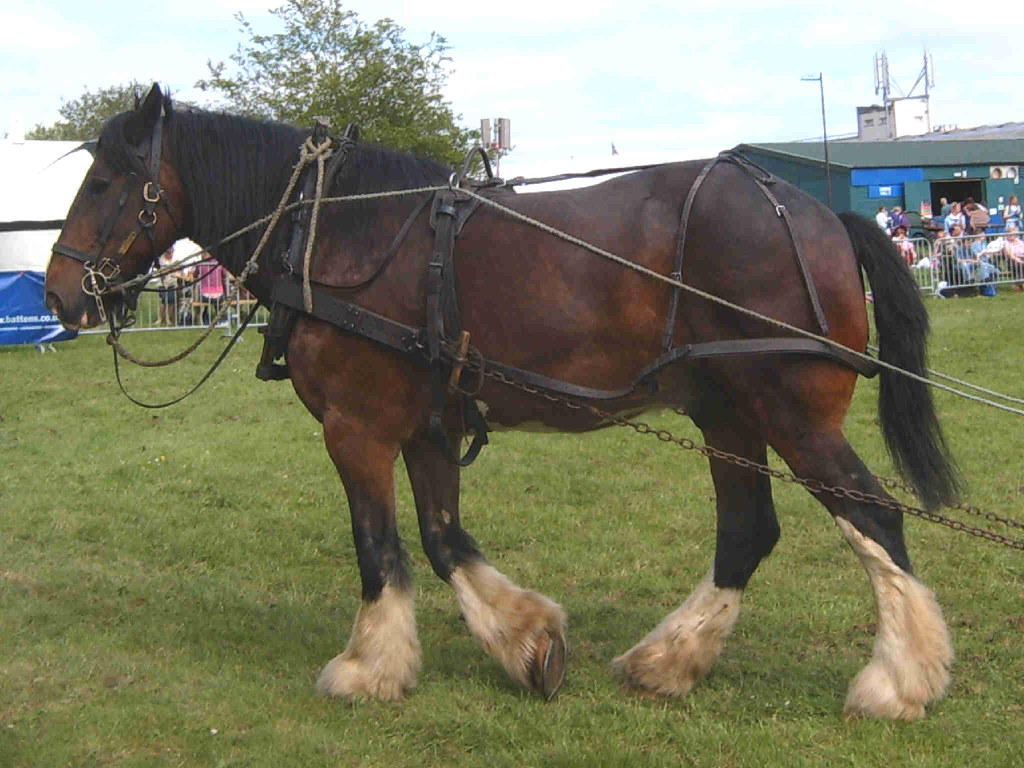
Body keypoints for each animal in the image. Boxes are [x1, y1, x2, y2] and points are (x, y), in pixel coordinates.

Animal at [45, 84, 960, 720]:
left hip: (792, 414)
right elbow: (444, 540)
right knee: (747, 531)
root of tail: (819, 216)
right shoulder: (426, 426)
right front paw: (529, 642)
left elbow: (379, 547)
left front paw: (366, 668)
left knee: (873, 517)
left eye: (106, 181)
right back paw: (666, 661)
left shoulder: (355, 428)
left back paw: (897, 681)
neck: (336, 233)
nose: (59, 292)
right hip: (728, 415)